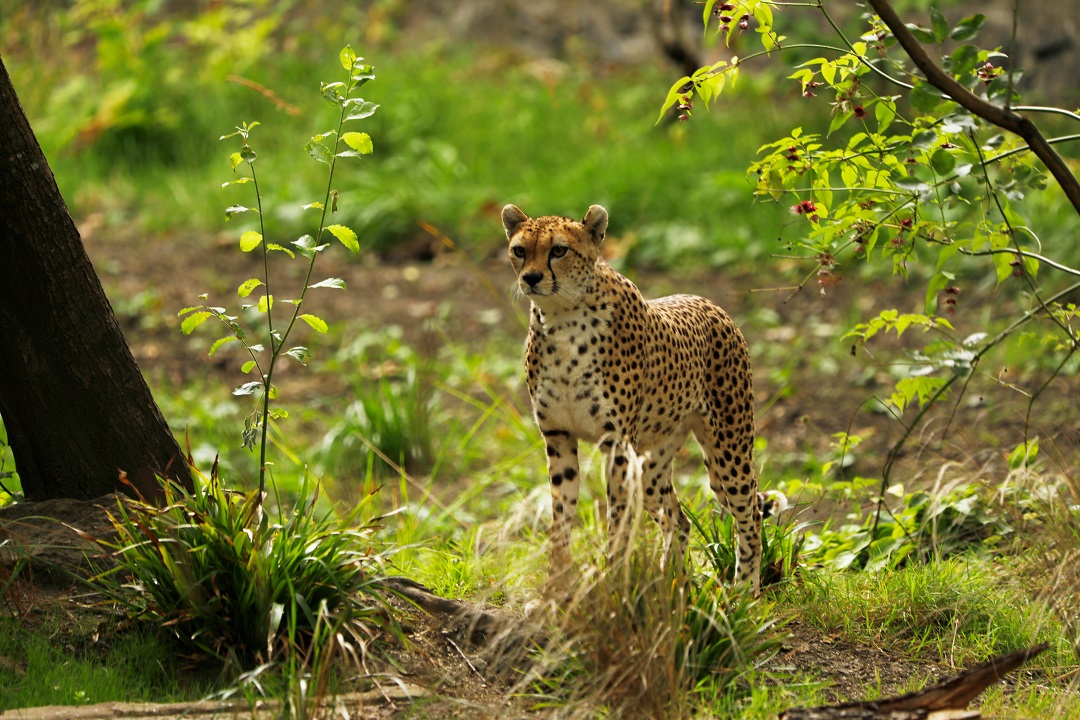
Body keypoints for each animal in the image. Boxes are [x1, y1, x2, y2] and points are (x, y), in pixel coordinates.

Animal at [503, 204, 764, 595]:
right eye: (520, 250)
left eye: (559, 250)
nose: (531, 278)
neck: (563, 317)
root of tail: (708, 302)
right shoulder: (558, 437)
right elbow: (560, 518)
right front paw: (556, 586)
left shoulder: (616, 446)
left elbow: (618, 522)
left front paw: (612, 582)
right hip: (653, 466)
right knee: (678, 519)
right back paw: (672, 583)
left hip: (729, 451)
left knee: (751, 515)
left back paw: (746, 591)